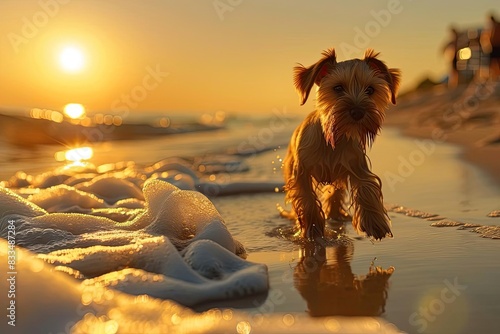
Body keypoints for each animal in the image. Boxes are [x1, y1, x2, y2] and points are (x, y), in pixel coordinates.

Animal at [284, 47, 400, 240]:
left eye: (370, 89)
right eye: (338, 88)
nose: (358, 112)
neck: (333, 139)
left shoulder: (357, 165)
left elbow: (367, 186)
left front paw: (374, 222)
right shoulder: (301, 171)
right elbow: (307, 198)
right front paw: (312, 229)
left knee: (335, 195)